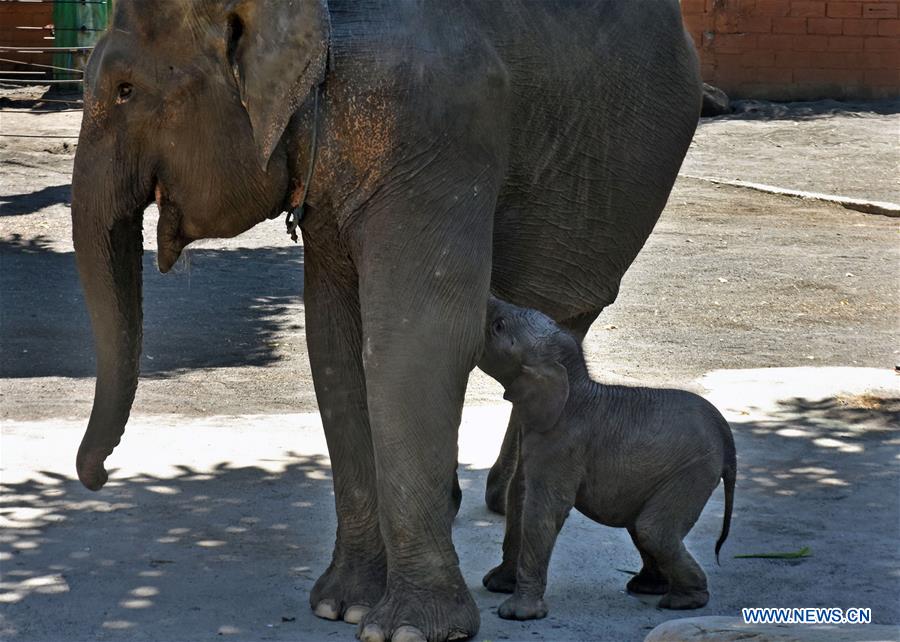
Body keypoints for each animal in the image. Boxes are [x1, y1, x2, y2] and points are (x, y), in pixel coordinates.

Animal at [69, 1, 701, 640]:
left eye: (124, 90)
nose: (98, 476)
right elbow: (335, 341)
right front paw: (342, 606)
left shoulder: (436, 129)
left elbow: (418, 337)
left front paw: (408, 628)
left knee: (564, 327)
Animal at [478, 298, 737, 619]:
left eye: (498, 326)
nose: (489, 298)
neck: (574, 381)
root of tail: (726, 437)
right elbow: (521, 497)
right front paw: (497, 584)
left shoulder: (564, 444)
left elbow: (544, 510)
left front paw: (516, 614)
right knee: (642, 528)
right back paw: (649, 588)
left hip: (694, 469)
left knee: (653, 530)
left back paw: (683, 601)